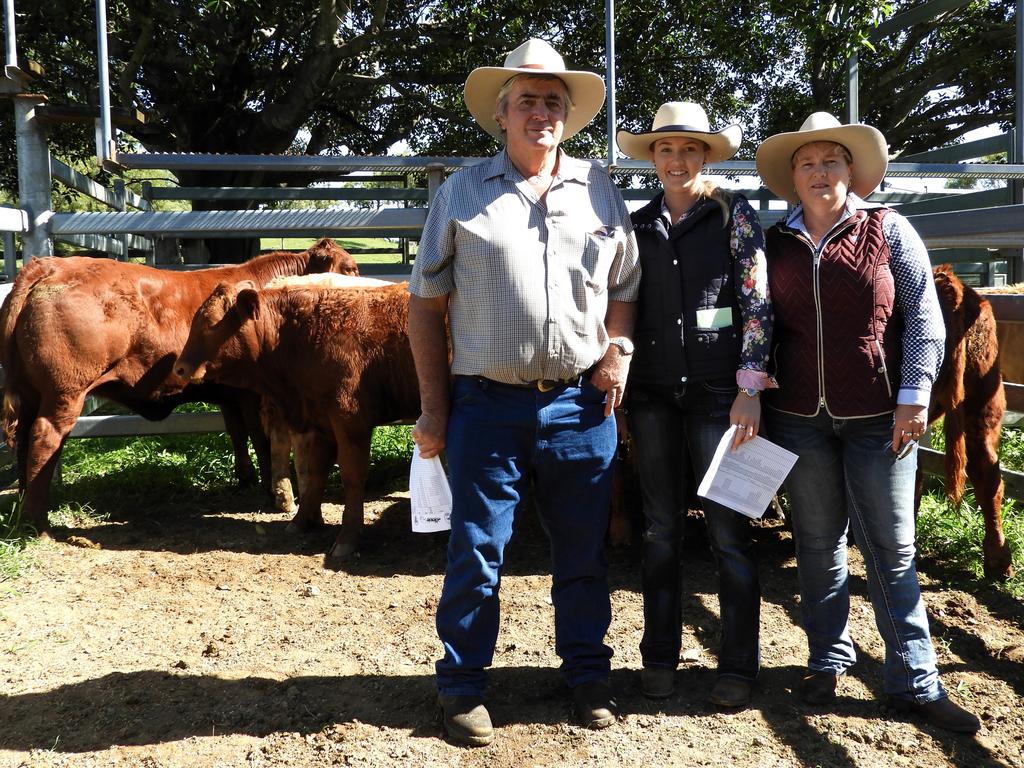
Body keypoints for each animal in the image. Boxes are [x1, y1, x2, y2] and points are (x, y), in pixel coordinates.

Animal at [0, 240, 358, 536]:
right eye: (351, 268)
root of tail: (48, 265)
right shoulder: (254, 395)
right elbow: (262, 440)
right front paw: (272, 492)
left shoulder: (230, 396)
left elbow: (238, 434)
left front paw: (246, 478)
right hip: (65, 393)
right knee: (44, 438)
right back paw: (40, 525)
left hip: (30, 394)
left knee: (24, 442)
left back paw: (22, 512)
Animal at [174, 280, 417, 561]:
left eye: (213, 324)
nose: (179, 368)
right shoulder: (322, 420)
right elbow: (316, 470)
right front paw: (302, 521)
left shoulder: (350, 420)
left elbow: (352, 474)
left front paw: (347, 538)